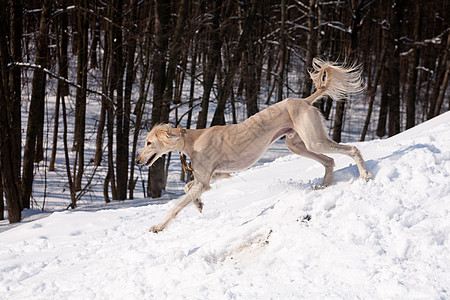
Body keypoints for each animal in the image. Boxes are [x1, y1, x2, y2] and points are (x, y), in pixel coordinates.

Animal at [137, 58, 372, 232]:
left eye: (148, 142)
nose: (138, 160)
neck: (192, 139)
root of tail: (304, 100)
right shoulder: (214, 175)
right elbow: (189, 188)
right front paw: (199, 204)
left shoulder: (204, 180)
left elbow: (177, 205)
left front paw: (158, 226)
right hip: (298, 144)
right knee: (329, 161)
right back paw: (323, 186)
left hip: (313, 141)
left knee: (351, 149)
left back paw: (364, 175)